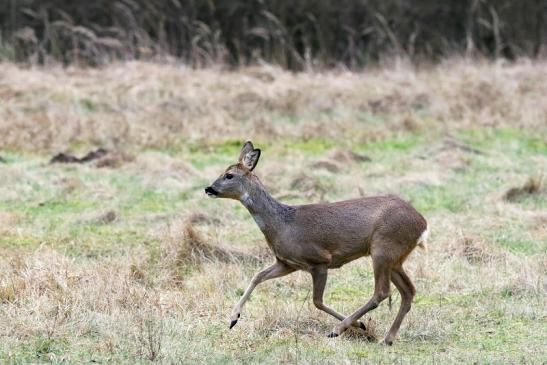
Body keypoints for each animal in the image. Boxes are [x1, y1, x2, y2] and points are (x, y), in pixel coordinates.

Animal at [204, 141, 428, 344]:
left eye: (229, 175)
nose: (208, 188)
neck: (282, 225)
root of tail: (423, 225)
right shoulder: (287, 263)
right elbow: (257, 276)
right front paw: (233, 319)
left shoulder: (319, 260)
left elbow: (317, 301)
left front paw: (359, 325)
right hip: (395, 257)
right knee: (408, 291)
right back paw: (387, 339)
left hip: (383, 247)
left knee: (382, 291)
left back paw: (338, 330)